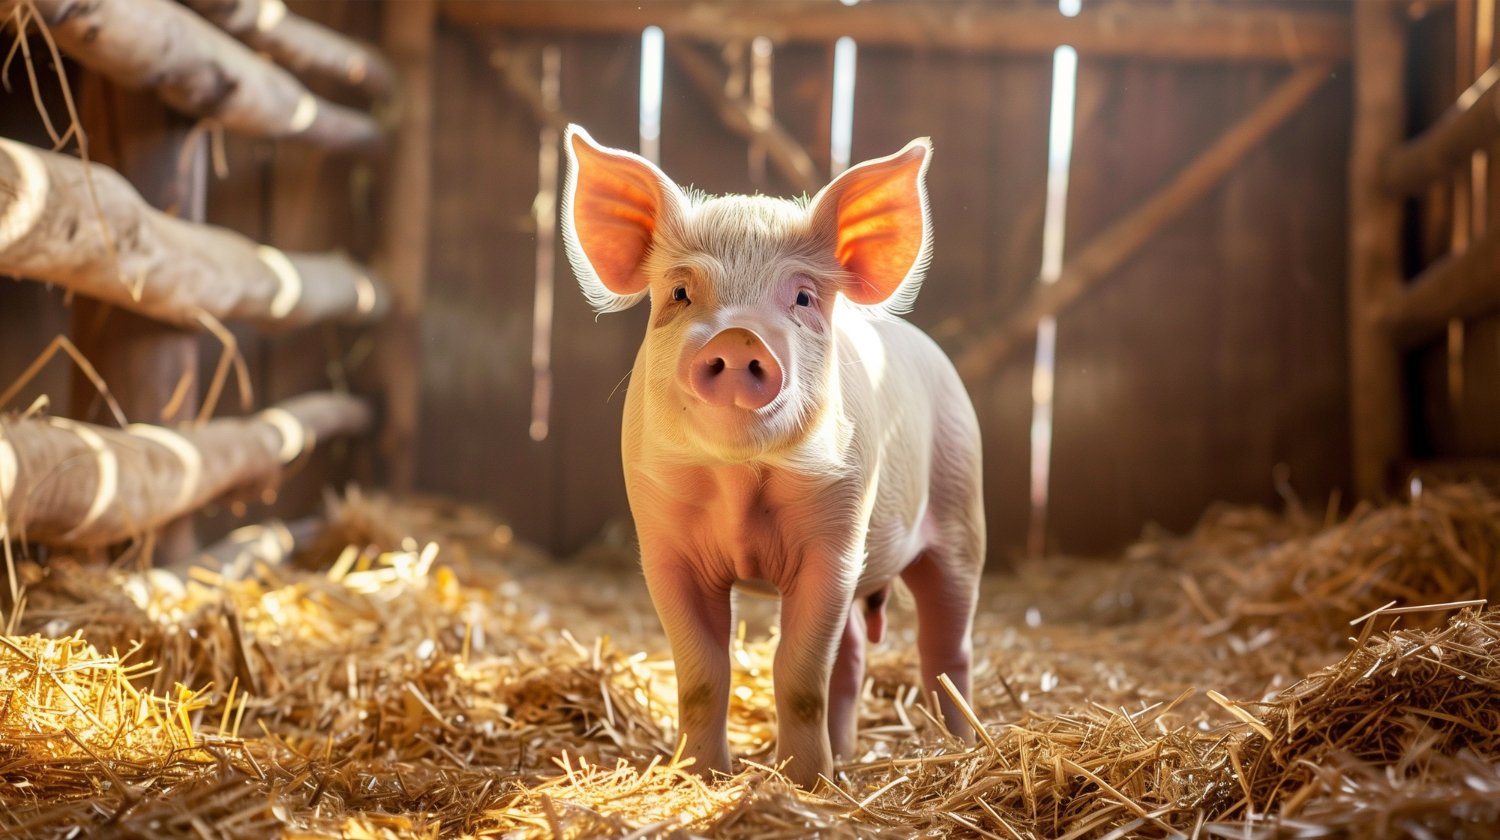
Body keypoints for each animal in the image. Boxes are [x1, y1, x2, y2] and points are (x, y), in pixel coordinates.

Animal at [560, 125, 985, 788]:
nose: (739, 336)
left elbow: (799, 675)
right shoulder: (662, 545)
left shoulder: (837, 539)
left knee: (946, 649)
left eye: (804, 297)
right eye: (680, 291)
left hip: (963, 511)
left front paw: (804, 784)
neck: (739, 482)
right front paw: (700, 777)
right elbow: (702, 676)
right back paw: (849, 756)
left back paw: (958, 749)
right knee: (855, 653)